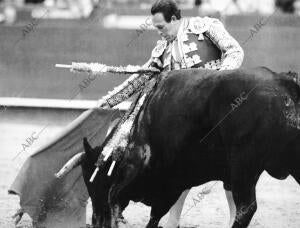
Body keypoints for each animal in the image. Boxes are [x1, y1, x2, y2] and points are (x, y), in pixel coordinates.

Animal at [81, 67, 300, 228]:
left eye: (94, 181)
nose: (95, 222)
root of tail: (284, 82)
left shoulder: (162, 177)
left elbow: (131, 204)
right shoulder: (176, 180)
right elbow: (156, 213)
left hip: (243, 166)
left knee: (246, 207)